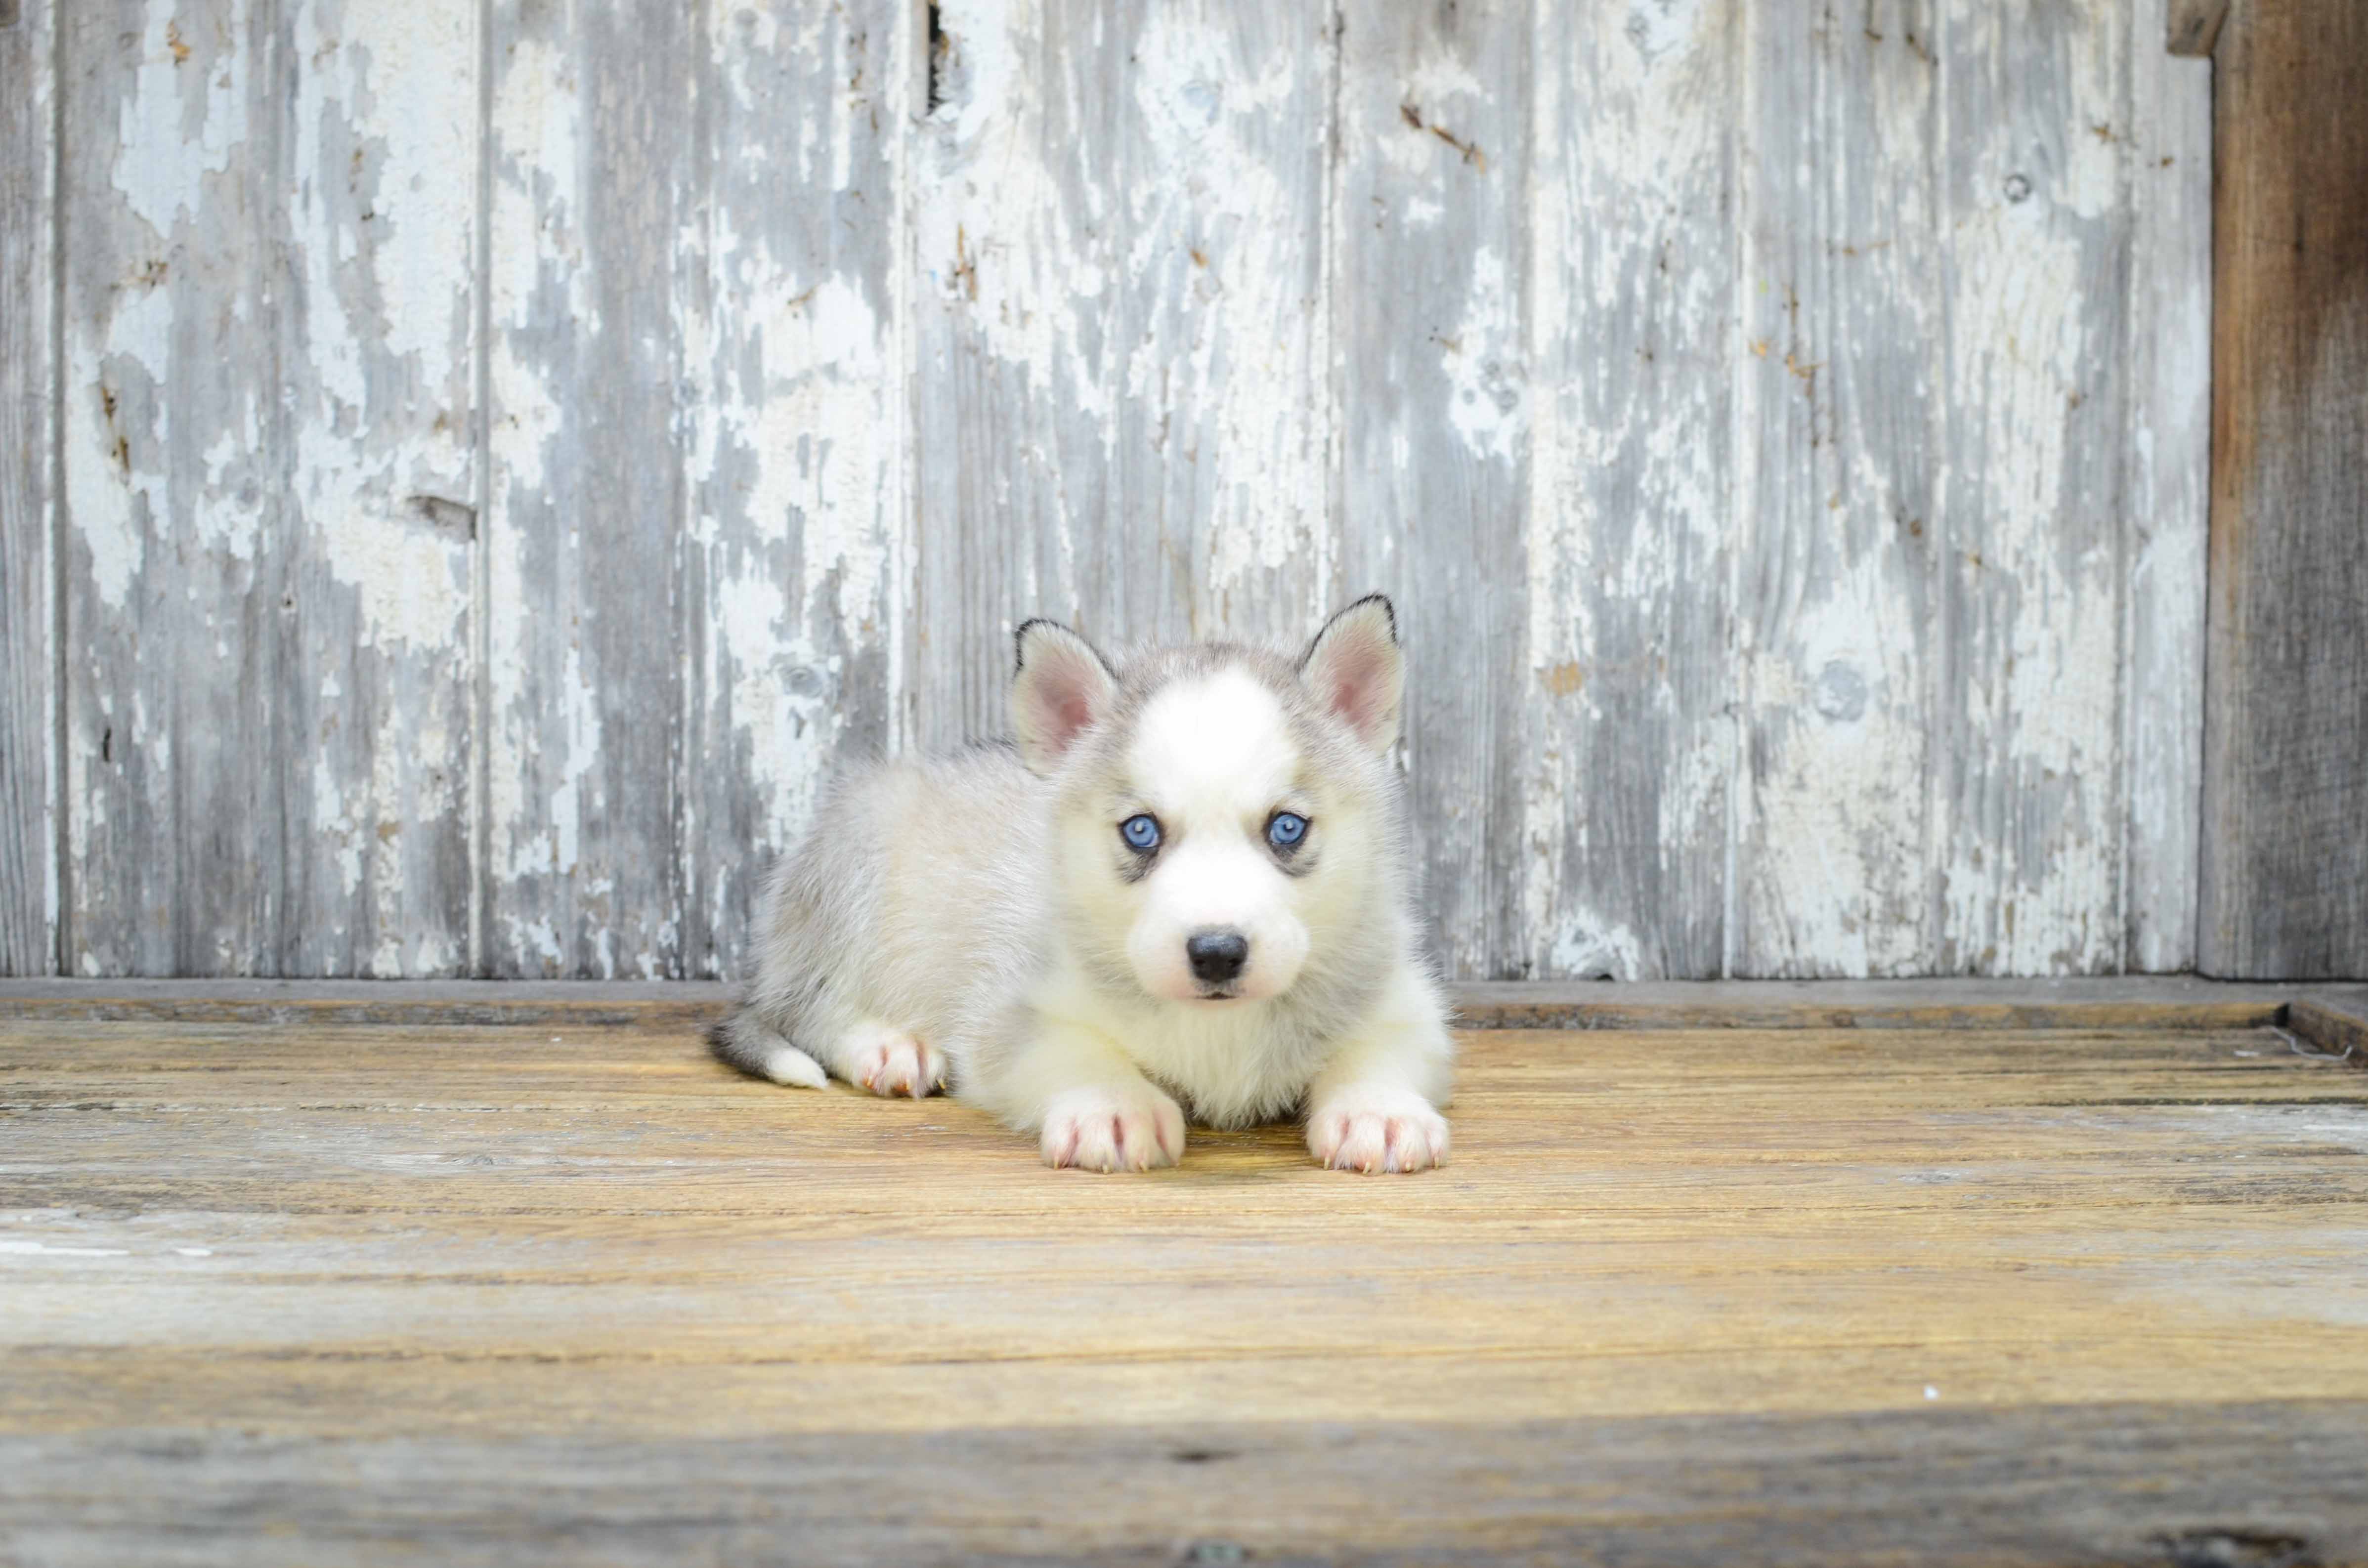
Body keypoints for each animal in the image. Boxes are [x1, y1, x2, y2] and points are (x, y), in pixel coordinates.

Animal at [701, 596, 1449, 1175]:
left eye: (1287, 827)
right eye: (1141, 831)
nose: (1215, 953)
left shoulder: (1404, 998)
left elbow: (1379, 1045)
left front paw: (1377, 1108)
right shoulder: (1009, 1014)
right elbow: (1073, 1048)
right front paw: (1114, 1106)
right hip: (856, 860)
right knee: (807, 1007)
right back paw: (887, 1046)